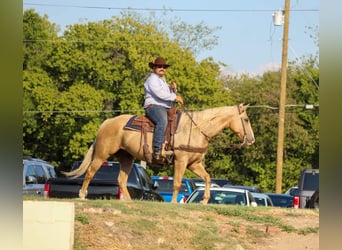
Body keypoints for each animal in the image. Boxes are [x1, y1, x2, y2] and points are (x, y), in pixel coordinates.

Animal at [63, 103, 254, 203]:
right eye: (245, 119)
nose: (252, 140)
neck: (196, 129)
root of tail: (107, 122)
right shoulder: (181, 160)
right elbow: (177, 183)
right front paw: (176, 203)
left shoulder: (194, 163)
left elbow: (207, 178)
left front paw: (205, 200)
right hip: (102, 154)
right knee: (90, 172)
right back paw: (82, 195)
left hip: (126, 158)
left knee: (121, 179)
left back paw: (130, 202)